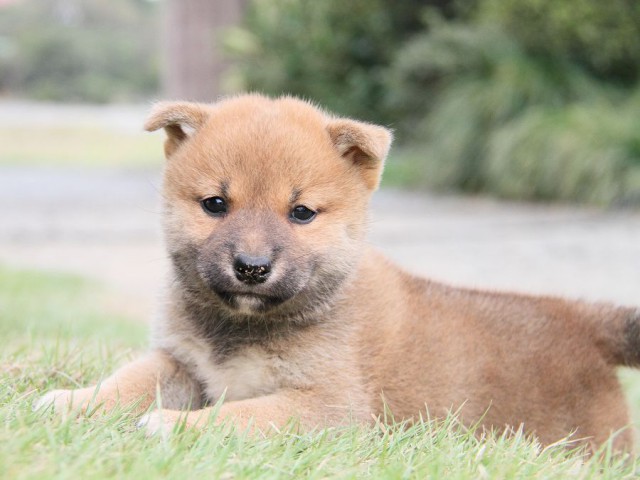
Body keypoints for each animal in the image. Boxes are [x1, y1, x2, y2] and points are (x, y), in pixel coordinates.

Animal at [37, 95, 640, 452]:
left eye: (301, 213)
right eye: (215, 204)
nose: (251, 267)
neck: (242, 329)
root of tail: (580, 319)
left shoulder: (325, 406)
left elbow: (243, 415)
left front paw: (176, 426)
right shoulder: (179, 361)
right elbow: (125, 381)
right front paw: (71, 402)